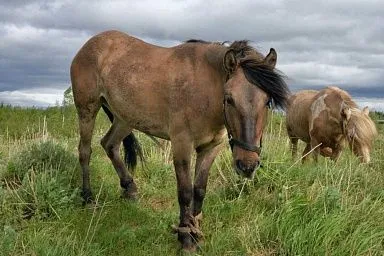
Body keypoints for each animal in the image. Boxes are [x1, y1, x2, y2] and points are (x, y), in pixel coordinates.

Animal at [70, 30, 290, 250]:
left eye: (267, 101)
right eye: (229, 99)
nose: (247, 165)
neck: (205, 88)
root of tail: (90, 44)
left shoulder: (210, 148)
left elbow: (199, 190)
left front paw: (196, 233)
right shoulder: (182, 144)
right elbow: (185, 193)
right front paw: (185, 238)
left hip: (124, 119)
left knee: (109, 144)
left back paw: (130, 189)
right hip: (87, 109)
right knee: (85, 151)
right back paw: (88, 198)